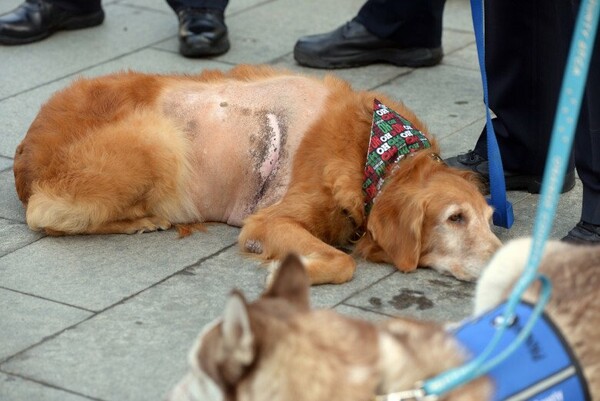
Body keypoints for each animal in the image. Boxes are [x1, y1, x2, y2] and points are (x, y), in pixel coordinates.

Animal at [15, 64, 502, 282]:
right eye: (455, 218)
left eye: (490, 219)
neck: (376, 149)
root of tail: (25, 151)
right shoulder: (268, 221)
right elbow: (343, 261)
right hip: (160, 139)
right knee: (45, 214)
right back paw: (142, 219)